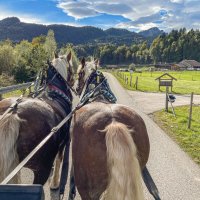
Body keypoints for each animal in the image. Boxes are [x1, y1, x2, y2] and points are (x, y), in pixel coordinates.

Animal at [0, 52, 74, 188]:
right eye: (71, 69)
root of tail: (14, 113)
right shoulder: (64, 142)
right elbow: (59, 160)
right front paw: (55, 183)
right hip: (42, 170)